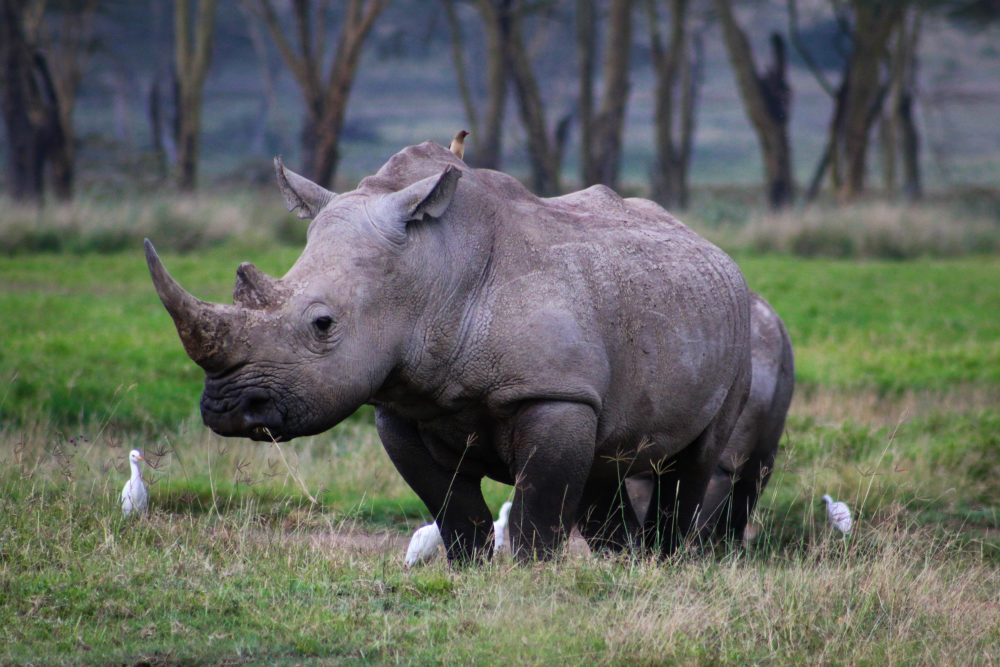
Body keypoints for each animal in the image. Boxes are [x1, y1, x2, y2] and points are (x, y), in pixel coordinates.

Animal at [145, 141, 751, 562]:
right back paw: (625, 565)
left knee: (695, 461)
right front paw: (471, 574)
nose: (226, 411)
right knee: (607, 460)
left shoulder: (554, 393)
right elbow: (453, 510)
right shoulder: (401, 404)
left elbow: (538, 511)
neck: (433, 270)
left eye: (323, 324)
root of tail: (710, 245)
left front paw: (531, 580)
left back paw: (664, 564)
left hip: (739, 325)